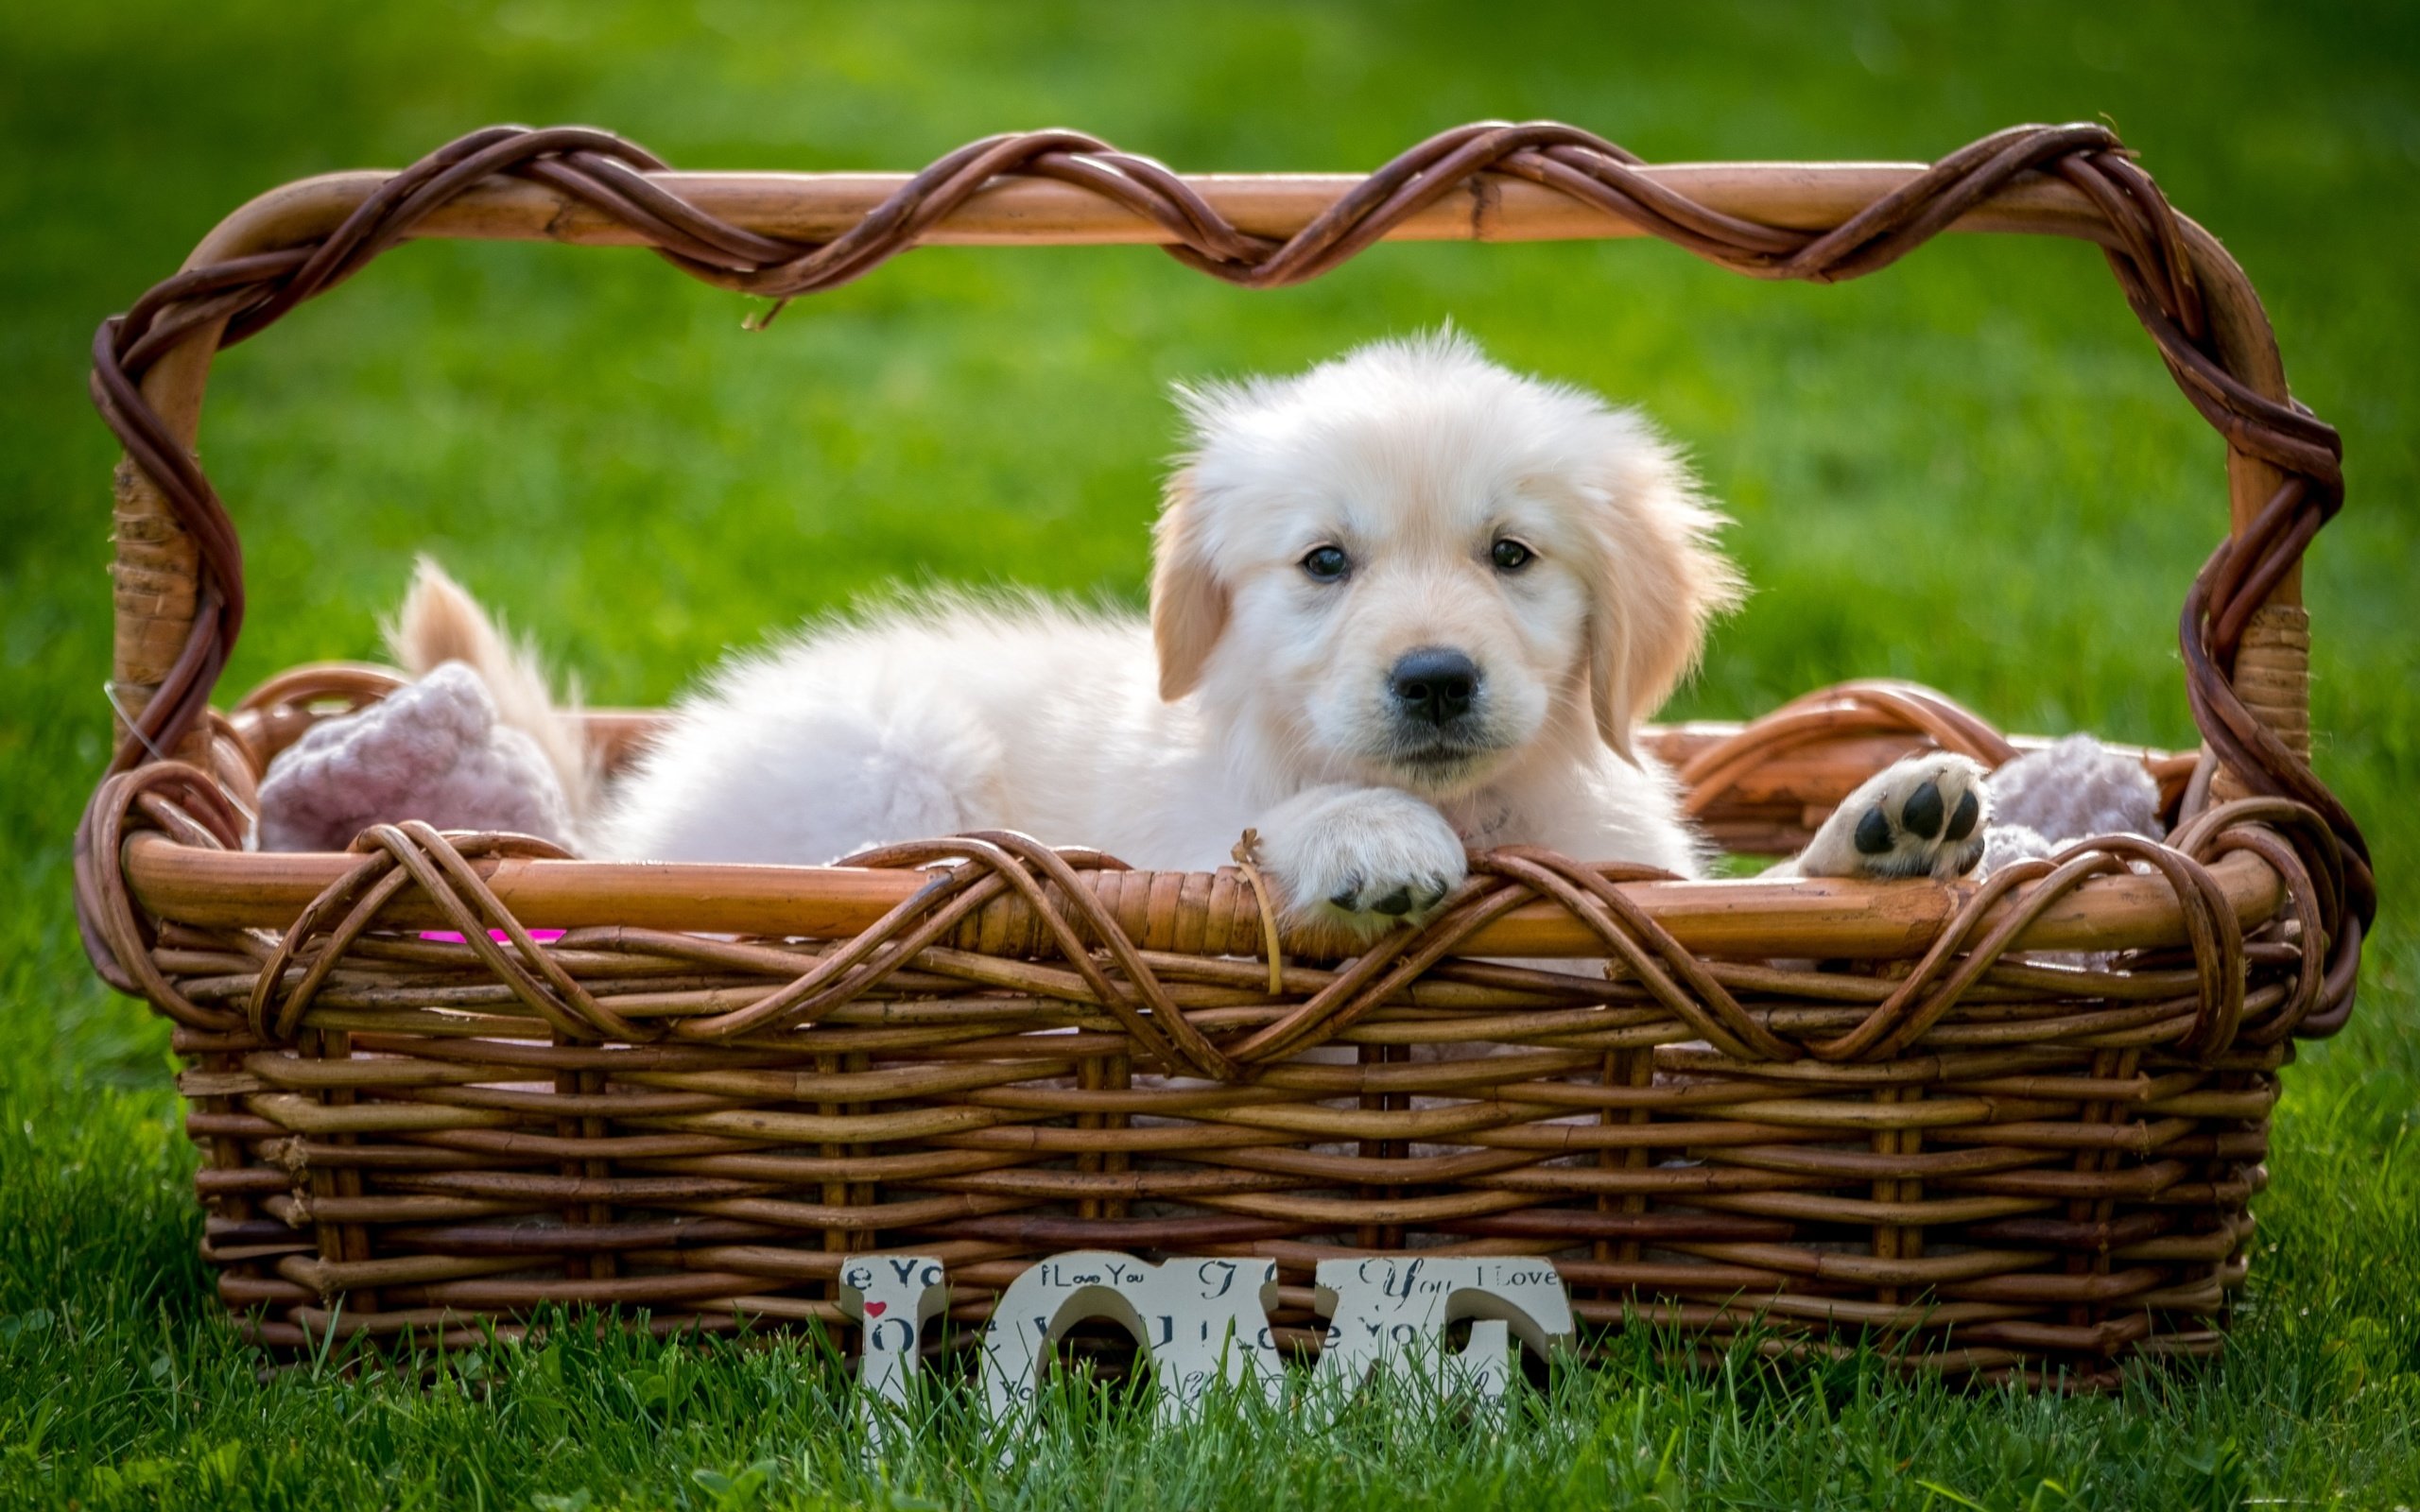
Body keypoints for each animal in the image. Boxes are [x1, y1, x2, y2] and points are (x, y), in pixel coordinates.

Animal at [401, 329, 1984, 919]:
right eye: (1326, 562)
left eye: (1512, 556)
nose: (1434, 678)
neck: (1480, 808)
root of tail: (629, 829)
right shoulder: (1182, 827)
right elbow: (1272, 823)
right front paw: (1366, 838)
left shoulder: (1626, 866)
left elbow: (1750, 895)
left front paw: (1887, 829)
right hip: (887, 760)